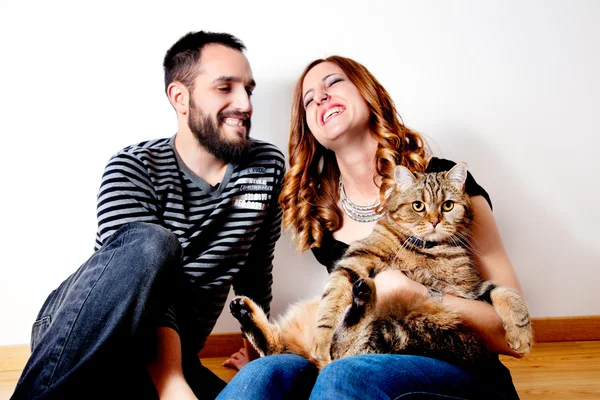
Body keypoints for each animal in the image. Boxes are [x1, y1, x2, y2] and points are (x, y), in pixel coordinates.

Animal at [230, 162, 536, 368]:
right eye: (418, 206)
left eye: (448, 205)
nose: (435, 220)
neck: (428, 251)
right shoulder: (355, 259)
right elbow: (331, 305)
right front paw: (323, 334)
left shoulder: (470, 289)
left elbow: (507, 293)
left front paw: (521, 333)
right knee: (315, 348)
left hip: (415, 331)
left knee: (327, 350)